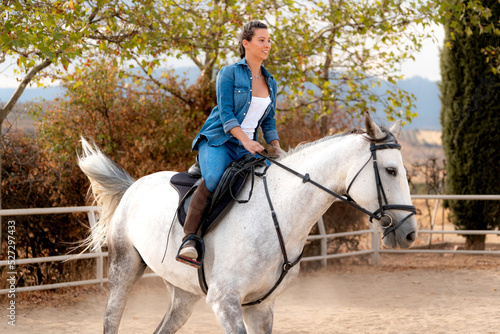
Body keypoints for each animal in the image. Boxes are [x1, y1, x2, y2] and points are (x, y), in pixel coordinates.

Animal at [77, 113, 414, 332]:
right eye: (391, 170)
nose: (410, 234)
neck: (277, 214)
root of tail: (134, 185)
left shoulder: (260, 307)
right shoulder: (226, 304)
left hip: (183, 292)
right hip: (124, 269)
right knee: (112, 316)